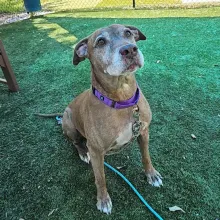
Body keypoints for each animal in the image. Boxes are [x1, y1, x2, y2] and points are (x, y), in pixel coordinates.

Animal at [61, 24, 162, 215]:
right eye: (100, 41)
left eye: (128, 33)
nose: (130, 49)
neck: (123, 100)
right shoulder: (96, 151)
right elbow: (100, 178)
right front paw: (103, 200)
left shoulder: (144, 132)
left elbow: (146, 156)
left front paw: (151, 175)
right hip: (69, 121)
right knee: (76, 142)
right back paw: (82, 152)